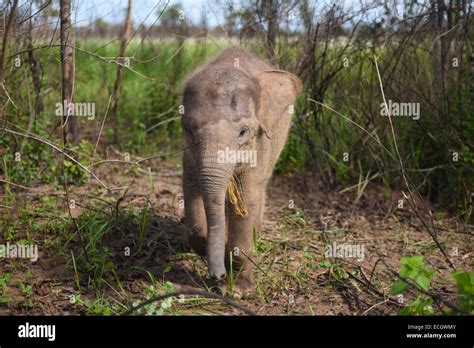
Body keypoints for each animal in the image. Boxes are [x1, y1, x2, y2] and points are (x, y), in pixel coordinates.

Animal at [181, 45, 300, 296]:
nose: (217, 276)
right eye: (189, 130)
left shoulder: (260, 142)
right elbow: (191, 186)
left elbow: (248, 197)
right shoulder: (189, 153)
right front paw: (209, 249)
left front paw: (236, 290)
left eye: (243, 132)